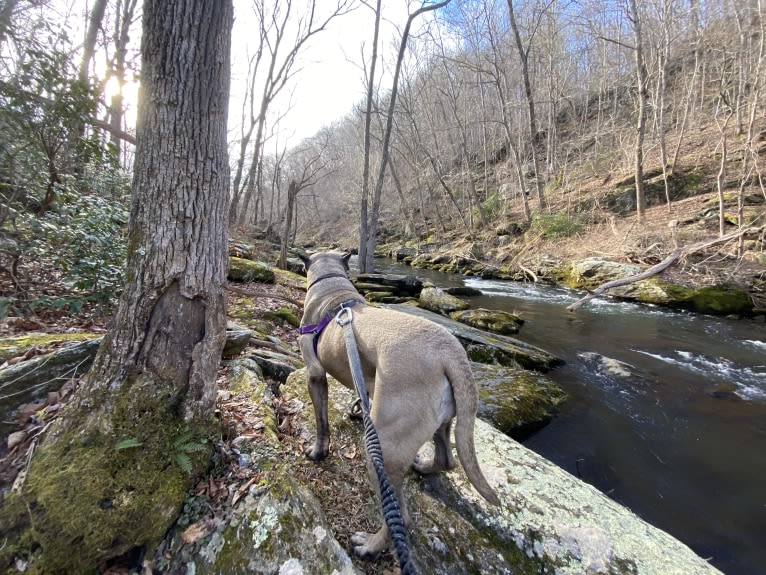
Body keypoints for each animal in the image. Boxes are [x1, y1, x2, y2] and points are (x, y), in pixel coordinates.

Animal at [296, 252, 500, 564]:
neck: (333, 291)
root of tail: (450, 352)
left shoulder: (315, 375)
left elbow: (321, 424)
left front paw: (318, 451)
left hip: (383, 448)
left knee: (400, 517)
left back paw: (370, 545)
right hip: (439, 422)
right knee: (446, 459)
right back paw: (424, 466)